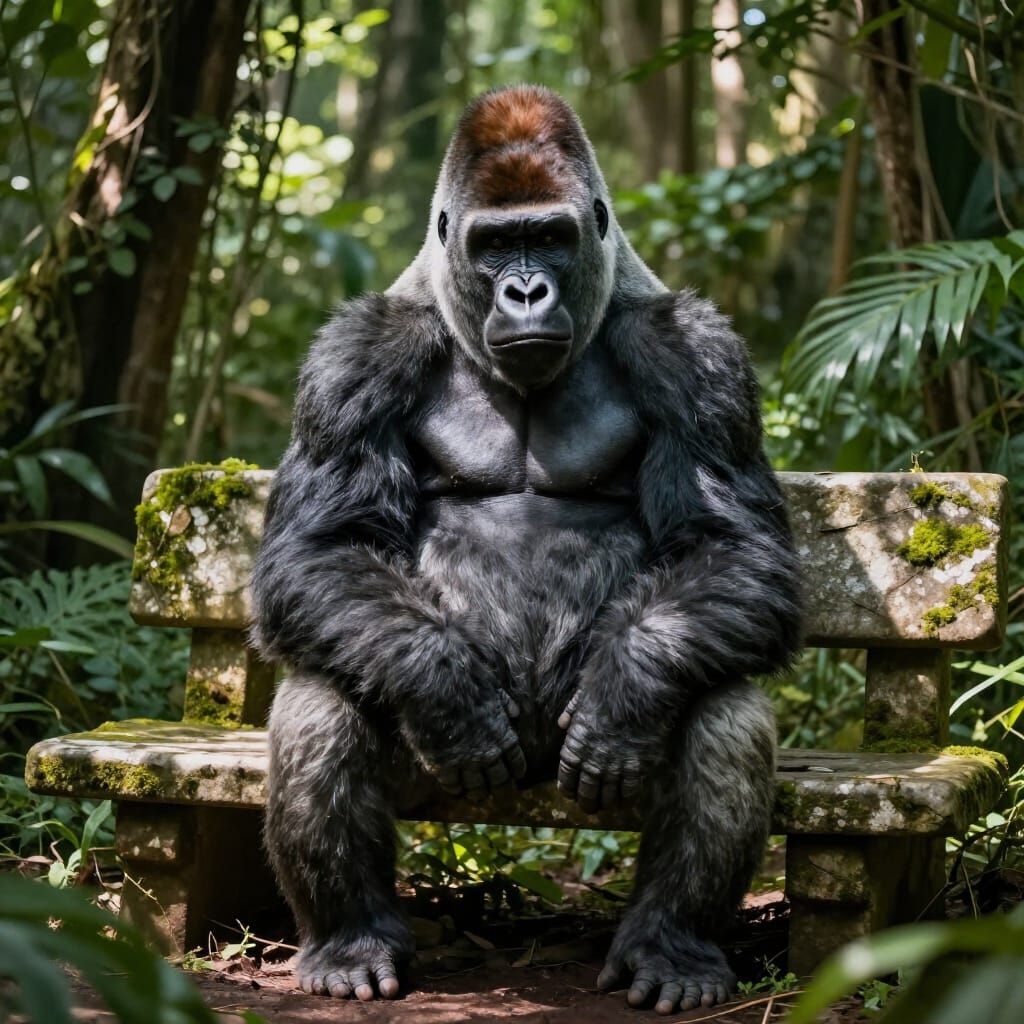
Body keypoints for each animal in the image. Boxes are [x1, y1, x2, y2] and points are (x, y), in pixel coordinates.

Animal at [252, 85, 801, 1015]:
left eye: (547, 236)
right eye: (493, 244)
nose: (526, 289)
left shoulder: (697, 353)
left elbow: (734, 548)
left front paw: (626, 692)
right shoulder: (353, 356)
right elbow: (320, 548)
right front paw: (445, 690)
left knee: (726, 712)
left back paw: (671, 949)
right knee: (322, 699)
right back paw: (350, 941)